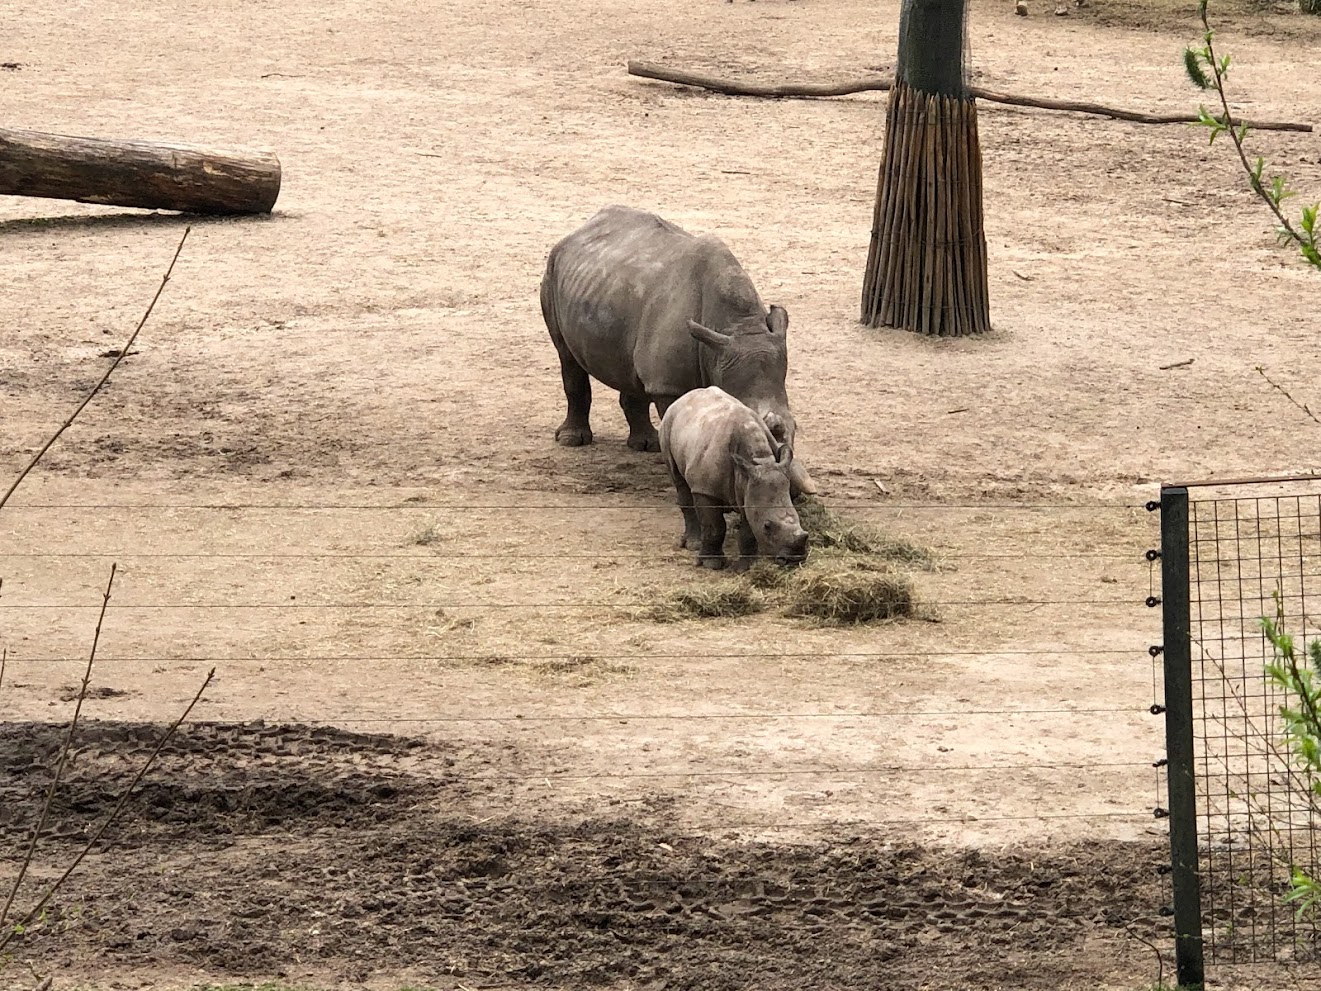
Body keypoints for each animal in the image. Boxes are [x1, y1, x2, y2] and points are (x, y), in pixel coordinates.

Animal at [539, 205, 817, 499]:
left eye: (795, 426)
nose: (793, 494)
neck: (736, 328)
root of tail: (581, 228)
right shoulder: (669, 386)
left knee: (632, 368)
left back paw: (645, 445)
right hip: (552, 271)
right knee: (567, 355)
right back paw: (572, 440)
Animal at [659, 386, 810, 572]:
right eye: (767, 526)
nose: (794, 560)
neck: (760, 460)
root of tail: (683, 398)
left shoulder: (749, 487)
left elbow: (748, 531)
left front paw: (745, 568)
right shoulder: (705, 490)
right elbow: (715, 527)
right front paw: (712, 564)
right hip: (668, 424)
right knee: (679, 480)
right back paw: (694, 545)